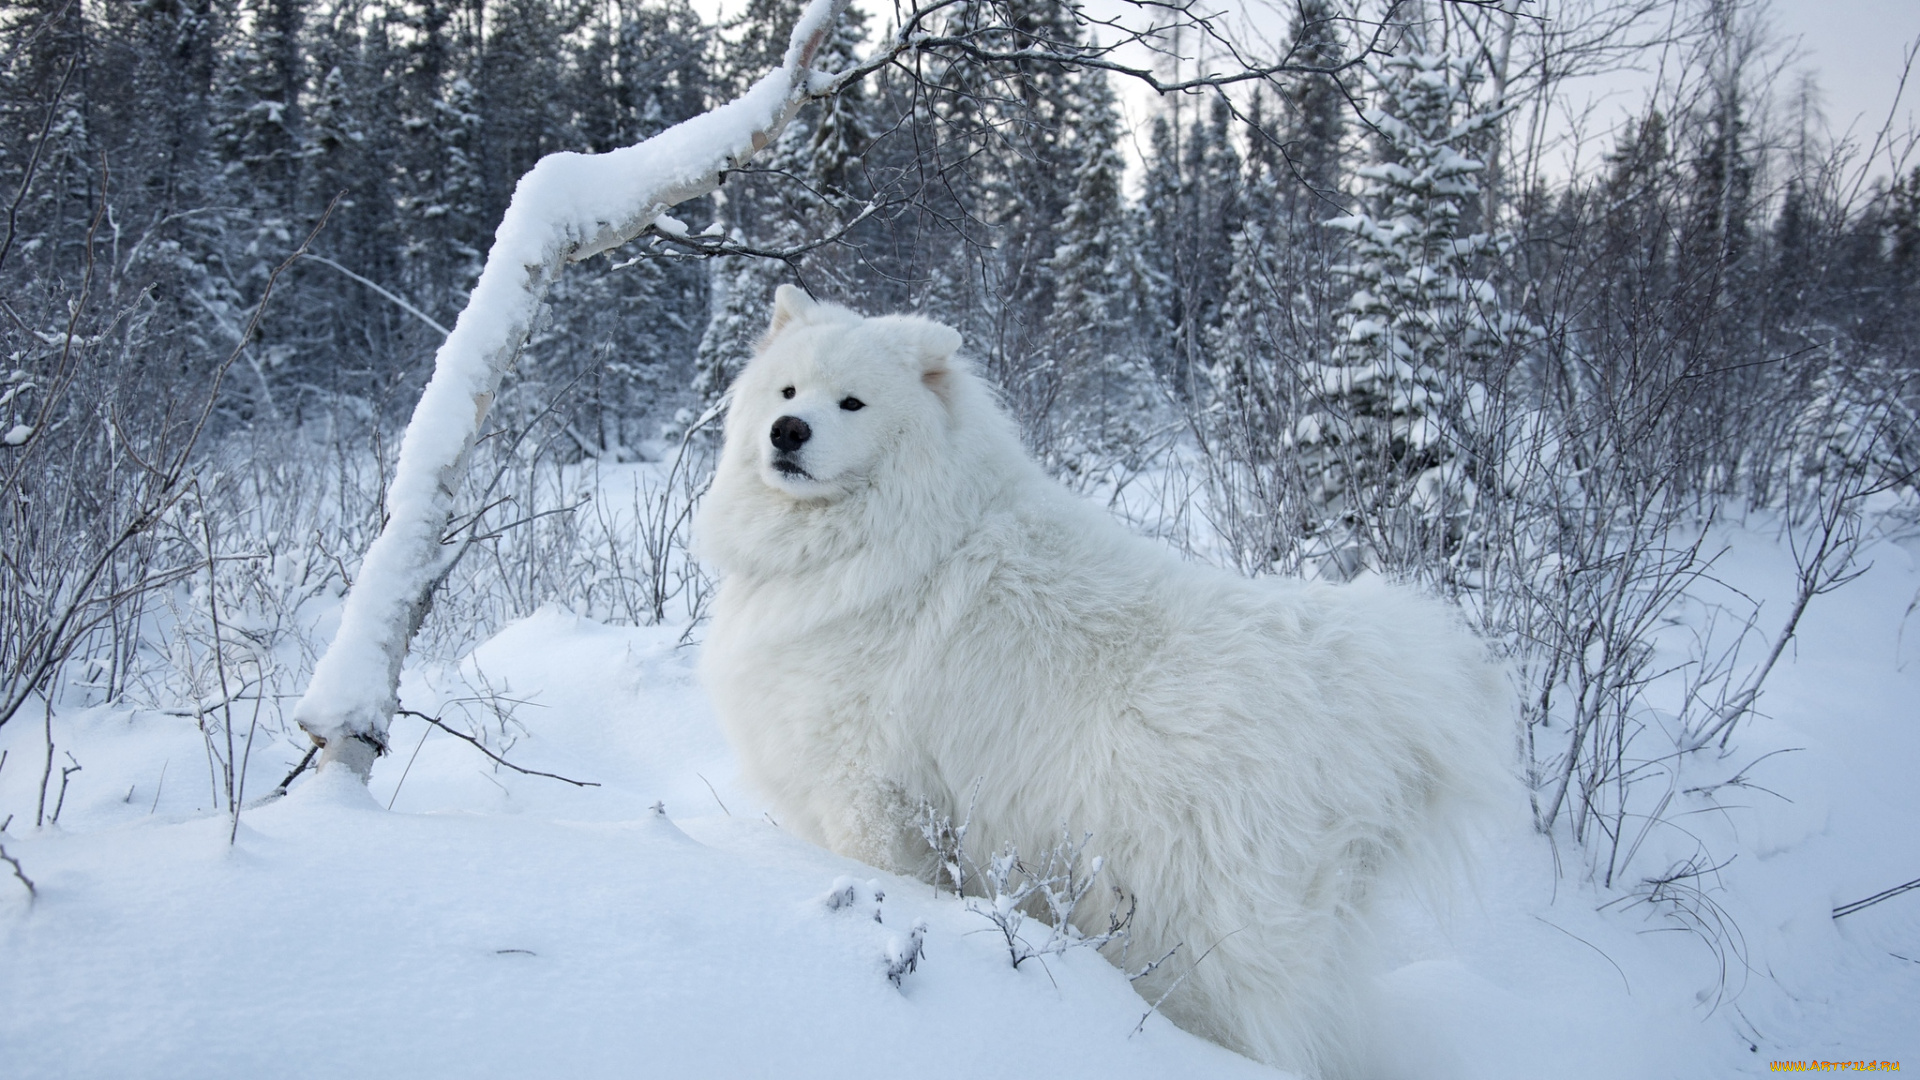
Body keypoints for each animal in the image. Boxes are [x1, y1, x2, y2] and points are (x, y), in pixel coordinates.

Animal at [691, 284, 1512, 1068]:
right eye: (788, 391)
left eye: (852, 403)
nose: (787, 432)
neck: (883, 535)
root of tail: (1348, 680)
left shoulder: (867, 794)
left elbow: (877, 881)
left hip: (1187, 928)